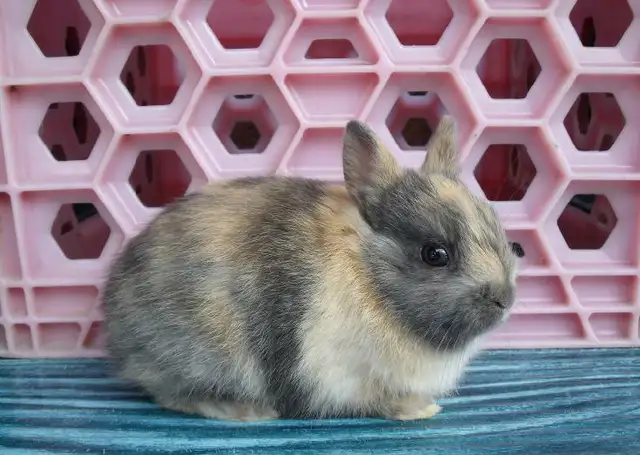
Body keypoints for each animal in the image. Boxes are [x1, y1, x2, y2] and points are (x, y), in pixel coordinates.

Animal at [103, 116, 518, 422]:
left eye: (499, 232)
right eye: (435, 254)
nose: (505, 300)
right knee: (171, 394)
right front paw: (420, 410)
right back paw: (248, 411)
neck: (367, 274)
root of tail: (115, 320)